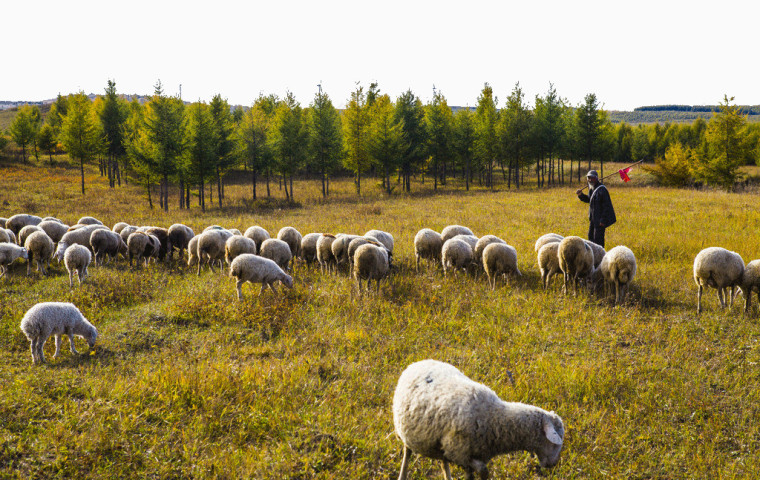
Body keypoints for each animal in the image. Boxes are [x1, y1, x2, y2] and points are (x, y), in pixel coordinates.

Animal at [392, 358, 564, 478]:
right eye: (554, 442)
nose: (553, 464)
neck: (495, 417)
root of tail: (416, 363)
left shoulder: (463, 454)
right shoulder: (460, 453)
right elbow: (483, 471)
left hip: (438, 442)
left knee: (443, 462)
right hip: (407, 433)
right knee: (407, 454)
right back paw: (402, 474)